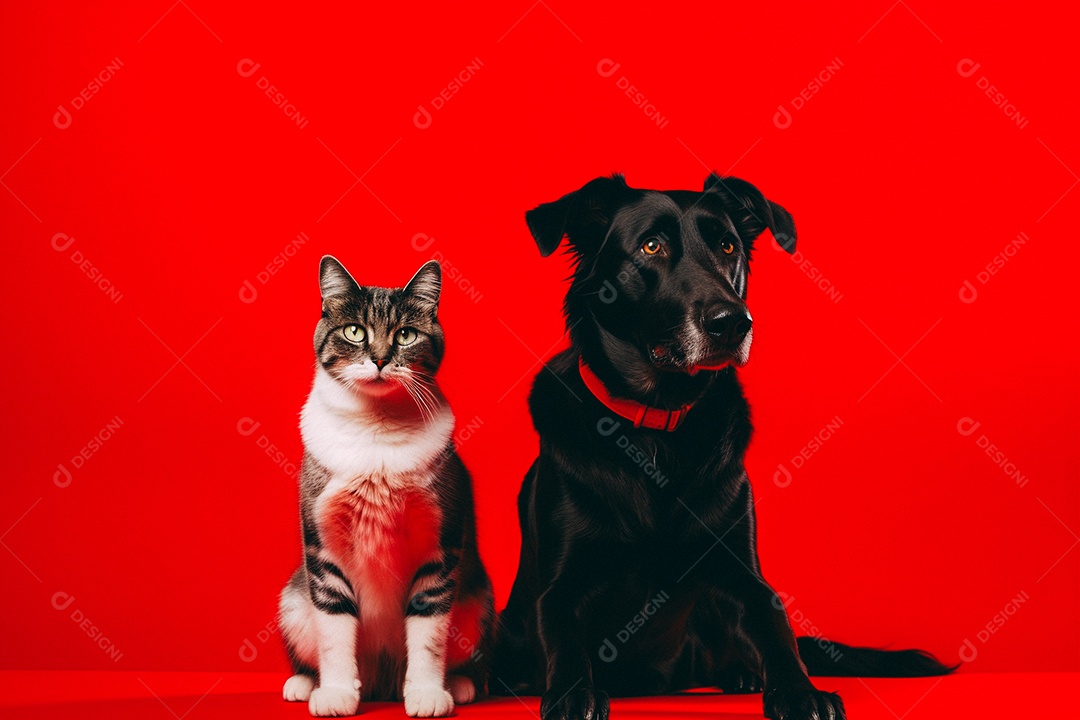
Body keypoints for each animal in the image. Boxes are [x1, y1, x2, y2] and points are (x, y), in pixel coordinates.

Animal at [278, 255, 496, 716]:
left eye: (406, 335)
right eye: (354, 331)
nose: (379, 359)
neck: (375, 429)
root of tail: (382, 682)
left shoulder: (440, 547)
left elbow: (429, 631)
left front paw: (428, 693)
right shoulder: (323, 550)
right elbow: (333, 628)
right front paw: (336, 692)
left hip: (478, 601)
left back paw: (460, 684)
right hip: (292, 600)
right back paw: (305, 683)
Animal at [494, 175, 950, 720]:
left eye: (727, 246)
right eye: (652, 246)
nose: (732, 322)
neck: (657, 426)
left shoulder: (741, 571)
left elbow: (776, 627)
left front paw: (800, 690)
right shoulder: (560, 584)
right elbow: (561, 632)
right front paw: (571, 692)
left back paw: (742, 675)